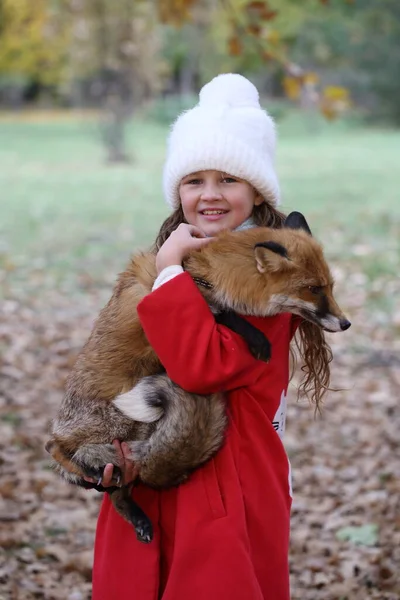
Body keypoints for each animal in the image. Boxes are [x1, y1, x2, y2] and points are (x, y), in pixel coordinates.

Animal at [46, 212, 350, 544]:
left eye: (330, 287)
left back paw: (137, 517)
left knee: (116, 490)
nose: (346, 323)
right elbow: (222, 313)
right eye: (314, 289)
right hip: (119, 427)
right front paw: (257, 339)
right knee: (57, 449)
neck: (205, 274)